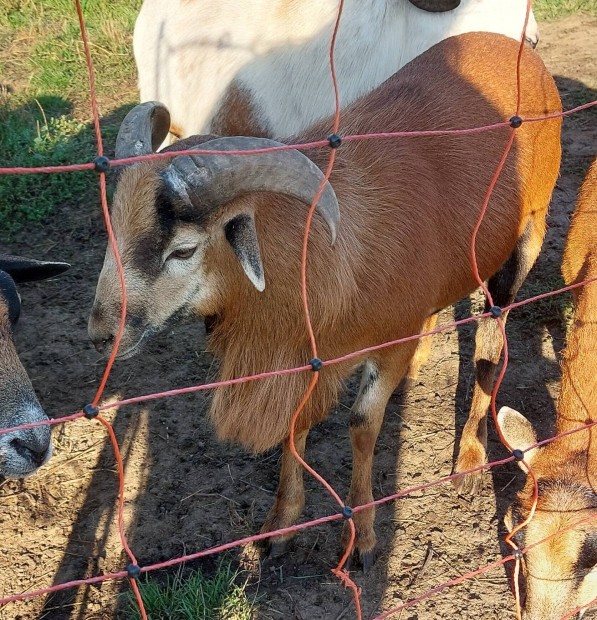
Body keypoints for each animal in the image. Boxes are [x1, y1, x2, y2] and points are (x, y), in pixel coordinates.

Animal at [87, 35, 560, 568]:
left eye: (183, 250)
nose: (102, 332)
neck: (320, 252)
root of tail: (518, 50)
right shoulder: (302, 359)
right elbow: (295, 429)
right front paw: (279, 527)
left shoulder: (385, 342)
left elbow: (362, 425)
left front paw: (364, 540)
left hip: (526, 238)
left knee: (489, 348)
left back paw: (470, 461)